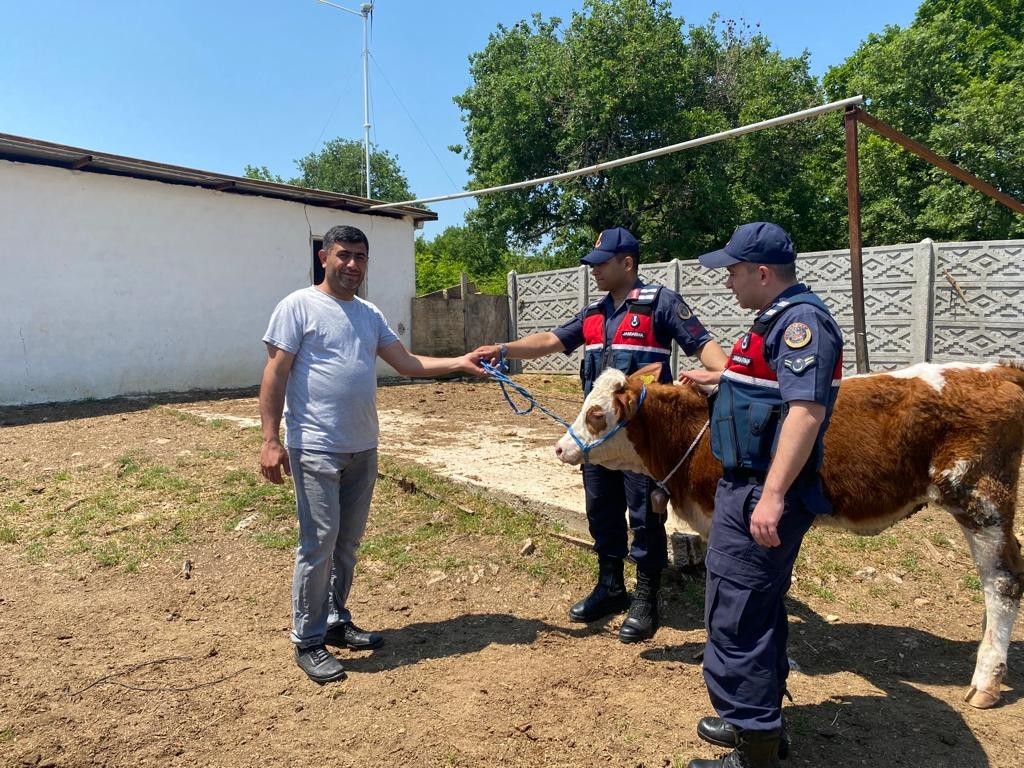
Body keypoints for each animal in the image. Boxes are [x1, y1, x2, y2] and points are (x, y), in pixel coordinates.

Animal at [557, 360, 1024, 708]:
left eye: (596, 414)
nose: (561, 447)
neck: (694, 434)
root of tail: (999, 370)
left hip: (980, 498)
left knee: (1002, 581)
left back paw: (986, 679)